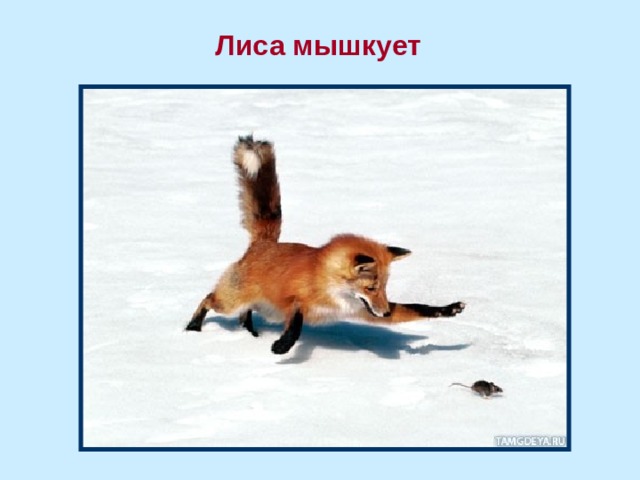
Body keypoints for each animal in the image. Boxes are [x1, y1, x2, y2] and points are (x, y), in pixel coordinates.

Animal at [186, 135, 465, 354]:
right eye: (371, 287)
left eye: (385, 288)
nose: (385, 312)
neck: (331, 288)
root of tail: (264, 243)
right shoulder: (295, 300)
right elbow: (297, 322)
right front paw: (283, 345)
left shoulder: (362, 310)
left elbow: (418, 308)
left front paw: (448, 310)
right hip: (231, 301)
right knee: (208, 299)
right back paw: (193, 327)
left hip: (257, 307)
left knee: (244, 314)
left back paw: (249, 334)